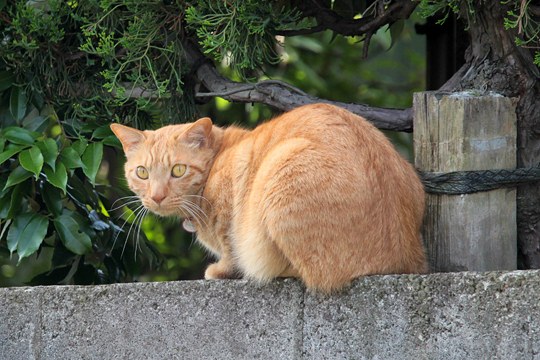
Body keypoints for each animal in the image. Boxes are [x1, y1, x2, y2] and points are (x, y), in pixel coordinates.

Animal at [112, 102, 428, 292]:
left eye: (178, 170)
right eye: (142, 173)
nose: (157, 196)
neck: (219, 158)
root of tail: (404, 259)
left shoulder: (230, 219)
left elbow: (231, 250)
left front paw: (222, 270)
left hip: (279, 164)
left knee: (314, 273)